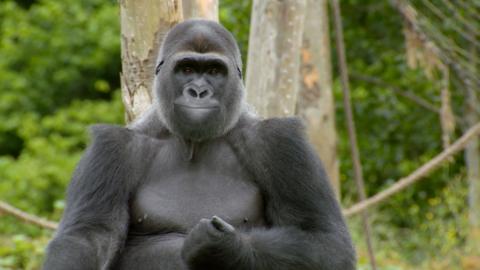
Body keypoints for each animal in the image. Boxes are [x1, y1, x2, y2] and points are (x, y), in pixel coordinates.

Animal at [42, 19, 356, 270]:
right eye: (187, 69)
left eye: (215, 72)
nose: (198, 91)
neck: (195, 141)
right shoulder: (112, 149)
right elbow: (88, 236)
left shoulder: (281, 144)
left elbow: (325, 240)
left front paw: (224, 247)